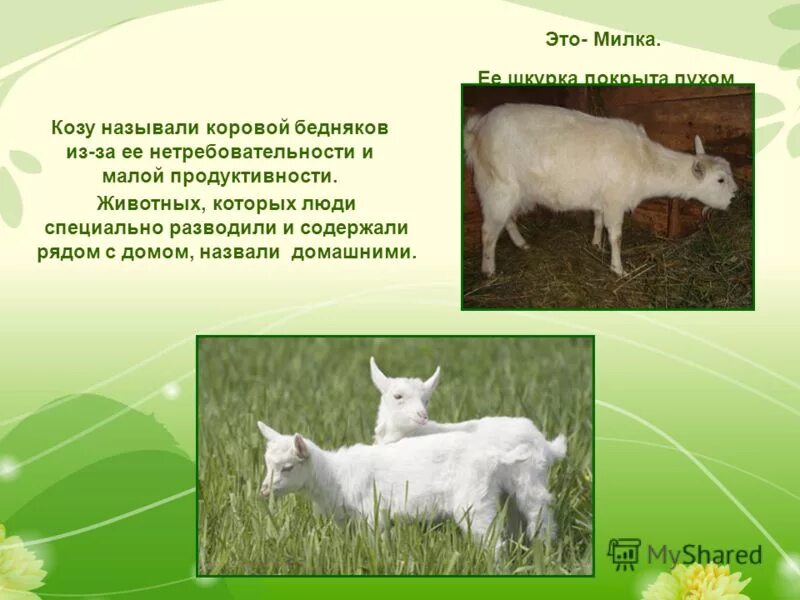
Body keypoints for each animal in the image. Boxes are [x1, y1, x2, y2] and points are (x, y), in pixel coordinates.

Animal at [464, 103, 738, 276]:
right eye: (720, 180)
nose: (736, 197)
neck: (644, 160)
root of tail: (477, 129)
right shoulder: (615, 200)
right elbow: (616, 236)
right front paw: (618, 269)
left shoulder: (601, 199)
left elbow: (596, 221)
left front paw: (596, 244)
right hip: (497, 185)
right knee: (488, 230)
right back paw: (489, 271)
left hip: (511, 191)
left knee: (507, 220)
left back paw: (522, 244)